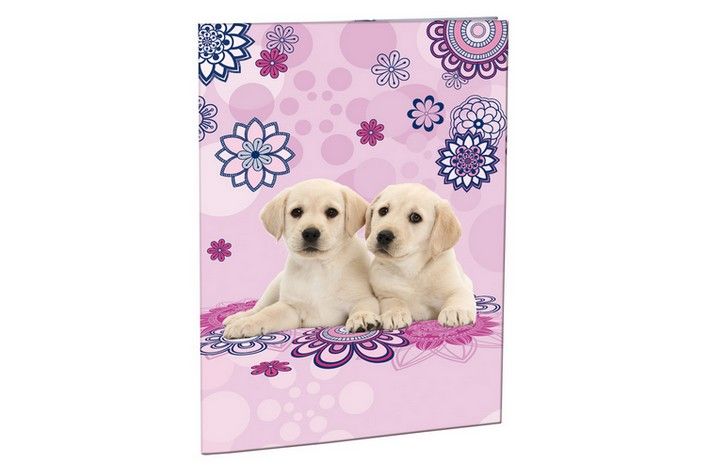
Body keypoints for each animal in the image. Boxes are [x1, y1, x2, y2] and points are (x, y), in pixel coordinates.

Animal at [223, 179, 381, 338]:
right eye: (296, 212)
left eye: (332, 212)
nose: (310, 233)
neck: (318, 267)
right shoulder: (290, 307)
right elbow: (269, 312)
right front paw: (247, 323)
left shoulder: (364, 298)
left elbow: (363, 305)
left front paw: (361, 316)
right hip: (273, 287)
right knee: (259, 307)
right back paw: (239, 317)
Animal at [365, 183, 476, 329]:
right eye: (383, 211)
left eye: (415, 217)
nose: (383, 236)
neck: (410, 268)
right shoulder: (384, 295)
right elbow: (394, 301)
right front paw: (395, 313)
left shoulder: (461, 287)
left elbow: (458, 295)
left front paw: (455, 310)